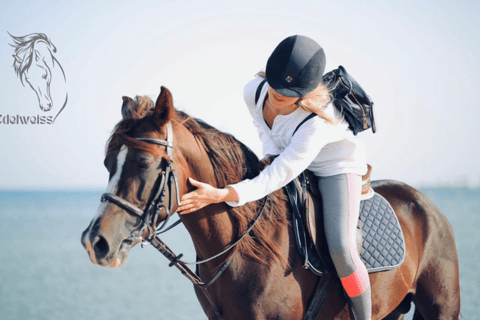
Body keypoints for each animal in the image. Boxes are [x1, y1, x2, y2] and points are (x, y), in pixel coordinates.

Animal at [80, 86, 460, 318]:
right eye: (107, 163)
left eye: (144, 163)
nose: (95, 242)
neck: (243, 249)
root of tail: (426, 205)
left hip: (441, 308)